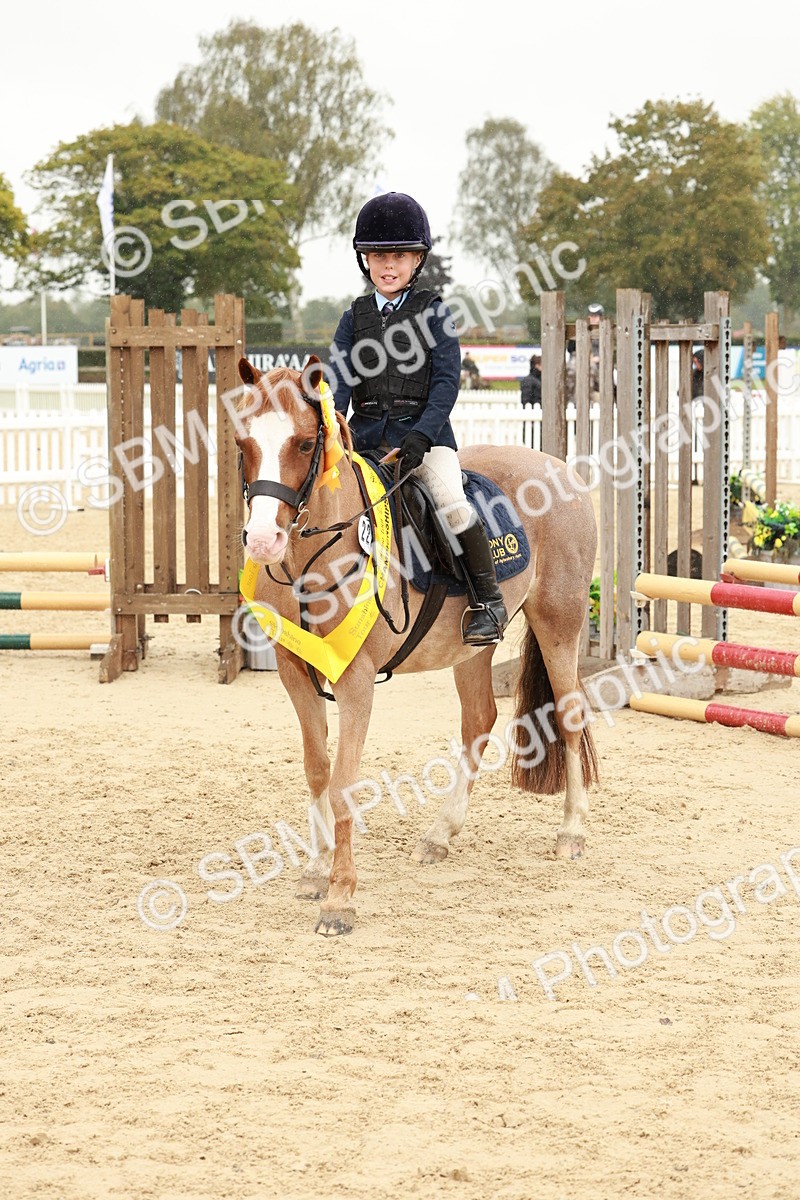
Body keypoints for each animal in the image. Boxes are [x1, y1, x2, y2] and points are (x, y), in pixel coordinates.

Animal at [234, 356, 599, 936]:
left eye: (303, 443)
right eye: (243, 442)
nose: (264, 541)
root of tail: (560, 468)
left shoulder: (356, 679)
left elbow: (343, 782)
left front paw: (340, 898)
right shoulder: (295, 672)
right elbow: (317, 769)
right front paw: (315, 871)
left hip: (558, 622)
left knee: (569, 715)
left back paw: (571, 833)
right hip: (473, 648)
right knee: (479, 721)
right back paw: (439, 834)